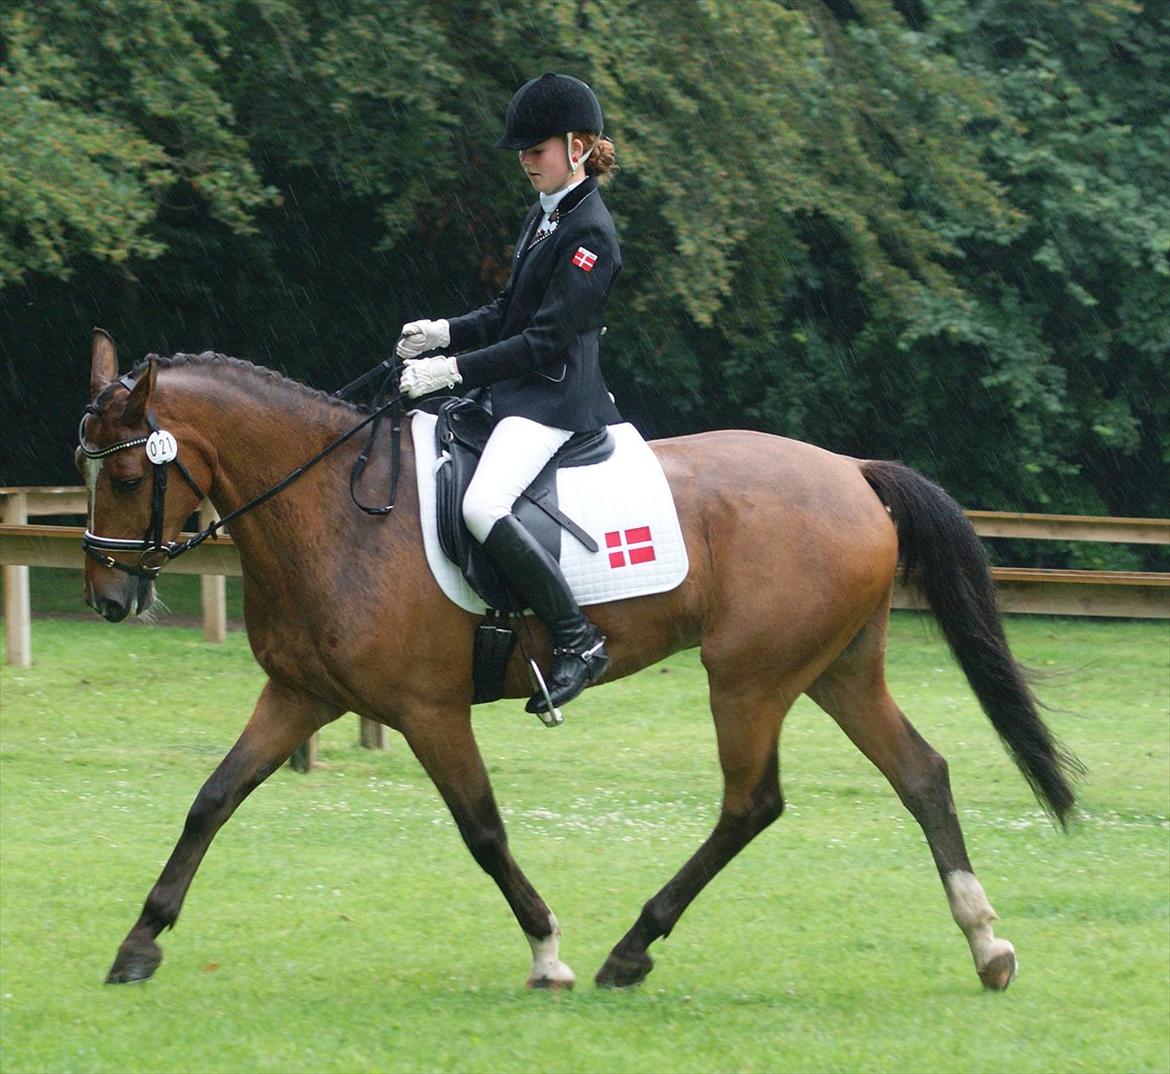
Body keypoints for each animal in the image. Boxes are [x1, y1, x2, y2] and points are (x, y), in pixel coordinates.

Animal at [78, 329, 1079, 992]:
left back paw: (630, 948)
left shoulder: (428, 711)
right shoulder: (299, 696)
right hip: (835, 671)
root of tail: (851, 472)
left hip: (749, 680)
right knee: (921, 774)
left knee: (752, 804)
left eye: (125, 475)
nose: (106, 599)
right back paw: (986, 944)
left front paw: (547, 951)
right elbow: (212, 800)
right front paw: (140, 942)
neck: (333, 509)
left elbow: (483, 831)